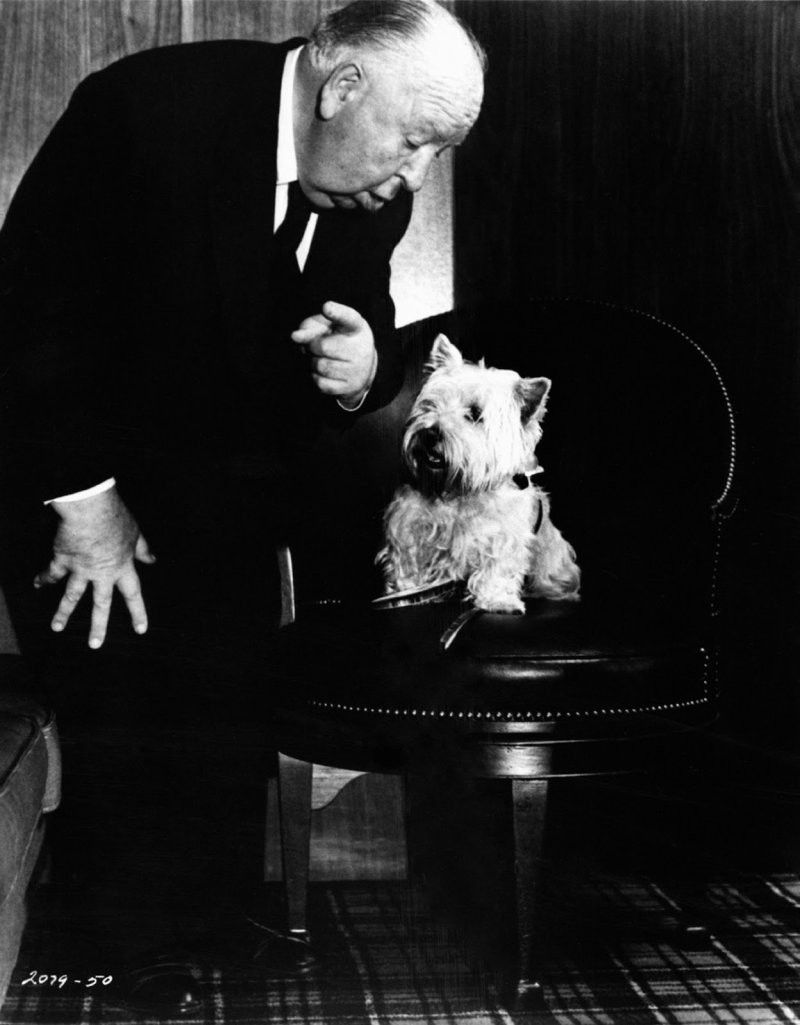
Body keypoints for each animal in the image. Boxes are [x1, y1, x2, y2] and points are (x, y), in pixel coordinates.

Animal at [377, 335, 580, 614]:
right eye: (430, 404)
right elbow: (407, 562)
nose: (429, 434)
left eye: (474, 414)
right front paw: (406, 593)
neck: (457, 487)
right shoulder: (409, 526)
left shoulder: (503, 537)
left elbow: (497, 567)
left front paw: (497, 600)